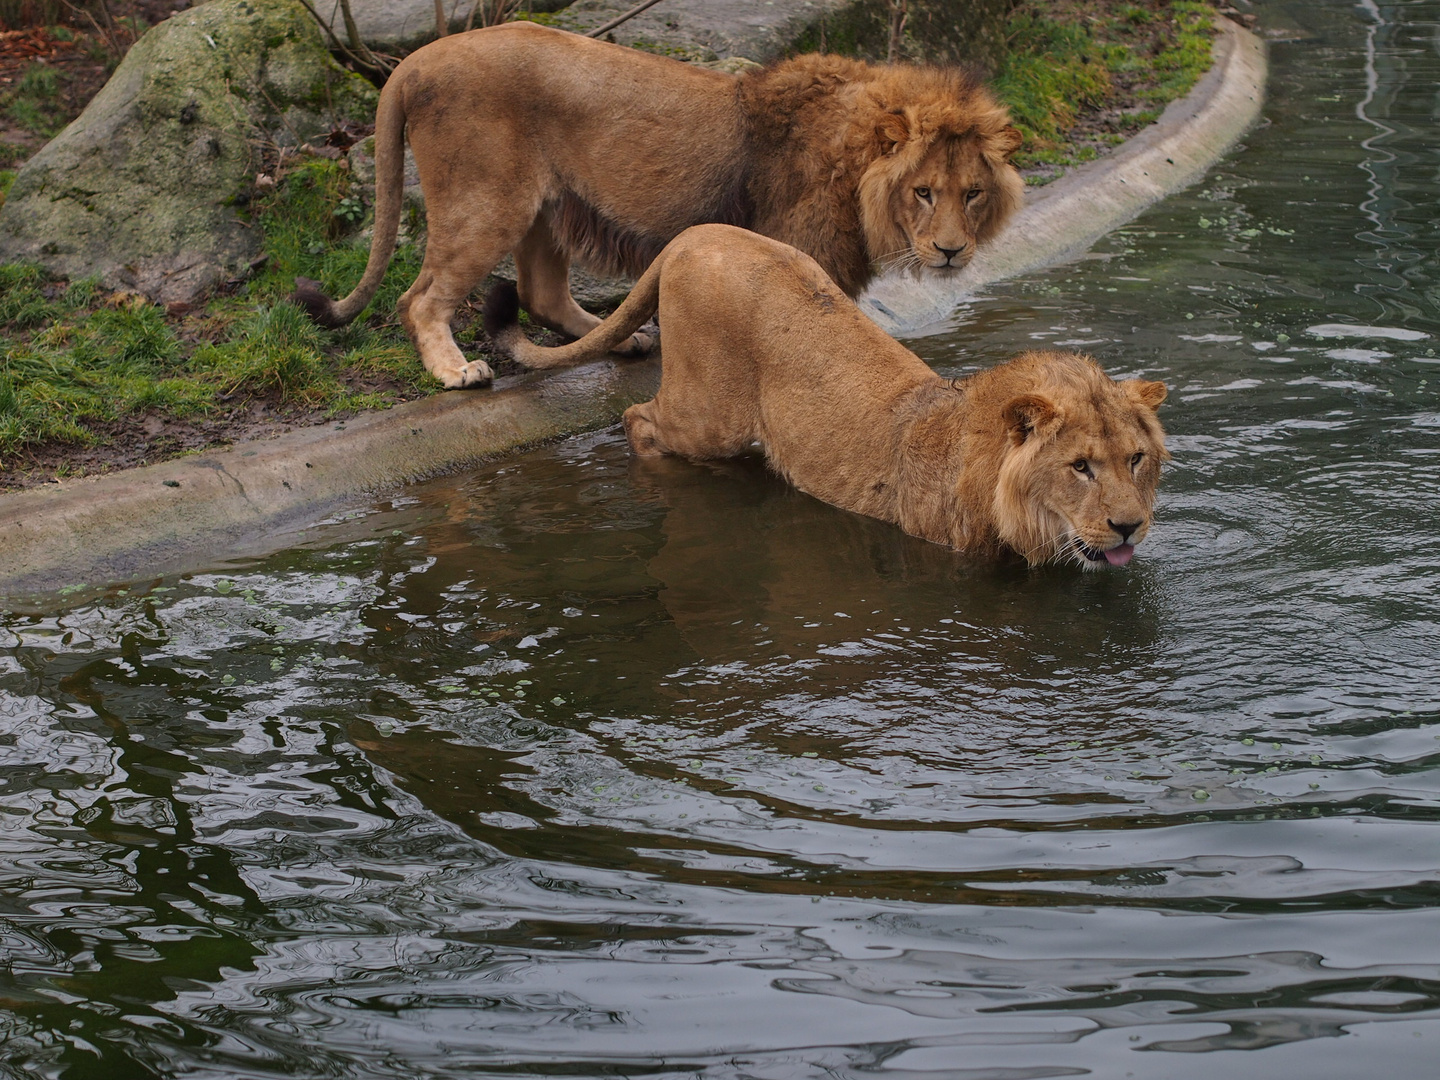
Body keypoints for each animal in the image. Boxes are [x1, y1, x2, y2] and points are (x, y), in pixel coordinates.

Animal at [292, 21, 1019, 391]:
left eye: (972, 193)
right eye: (922, 192)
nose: (951, 250)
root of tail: (410, 62)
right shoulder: (800, 257)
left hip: (545, 205)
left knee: (540, 295)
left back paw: (624, 337)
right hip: (486, 199)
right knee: (418, 298)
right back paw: (455, 370)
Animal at [483, 224, 1169, 570]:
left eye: (1136, 459)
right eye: (1079, 467)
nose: (1129, 527)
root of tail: (692, 232)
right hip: (707, 416)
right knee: (636, 418)